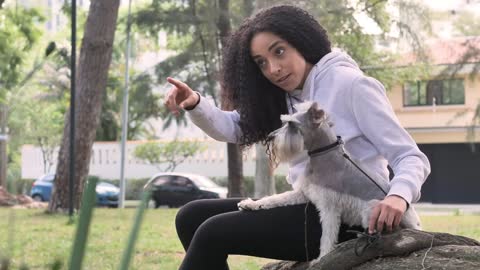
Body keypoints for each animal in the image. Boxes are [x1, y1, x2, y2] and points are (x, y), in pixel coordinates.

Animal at [238, 100, 422, 264]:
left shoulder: (329, 208)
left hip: (373, 209)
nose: (270, 137)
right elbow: (275, 198)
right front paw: (250, 204)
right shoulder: (303, 194)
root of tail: (415, 222)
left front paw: (322, 257)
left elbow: (327, 236)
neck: (324, 155)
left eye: (291, 124)